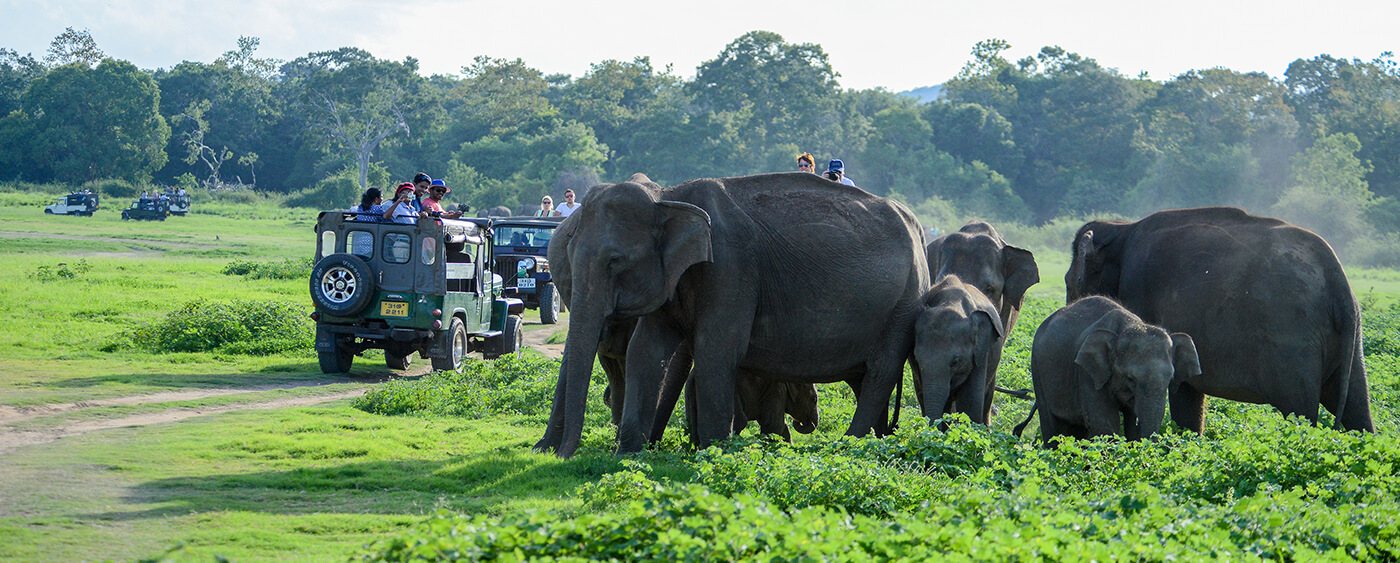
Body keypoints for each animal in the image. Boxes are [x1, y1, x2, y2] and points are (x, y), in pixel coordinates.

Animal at [534, 171, 929, 456]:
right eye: (567, 252)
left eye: (616, 261)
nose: (561, 455)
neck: (669, 197)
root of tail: (917, 226)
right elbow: (645, 350)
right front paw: (628, 455)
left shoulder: (730, 269)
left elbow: (716, 350)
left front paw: (713, 453)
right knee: (865, 377)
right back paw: (876, 440)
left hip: (904, 302)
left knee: (880, 372)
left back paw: (848, 445)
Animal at [1019, 294, 1204, 445]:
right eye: (1130, 378)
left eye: (1171, 379)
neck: (1127, 327)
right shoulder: (1087, 373)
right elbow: (1104, 423)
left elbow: (1131, 426)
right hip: (1037, 369)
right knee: (1051, 427)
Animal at [1064, 207, 1372, 431]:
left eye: (1070, 283)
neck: (1122, 230)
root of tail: (1338, 281)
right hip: (1349, 338)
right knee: (1358, 411)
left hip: (1293, 344)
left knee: (1301, 412)